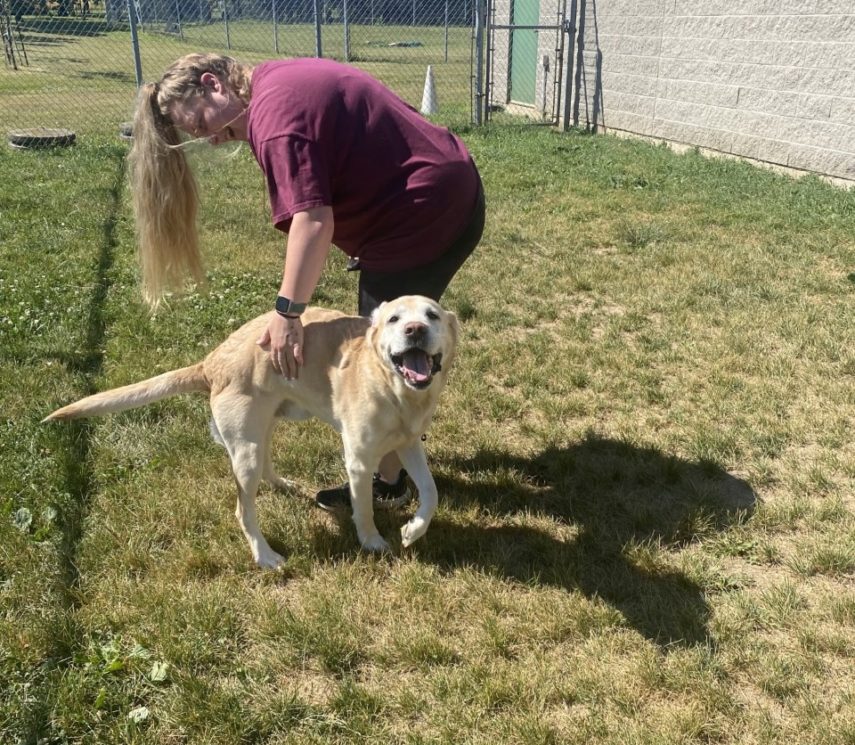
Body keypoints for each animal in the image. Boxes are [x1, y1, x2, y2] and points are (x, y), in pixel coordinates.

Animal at [45, 294, 462, 568]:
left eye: (432, 315)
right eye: (394, 319)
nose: (415, 329)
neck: (396, 390)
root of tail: (211, 361)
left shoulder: (409, 443)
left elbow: (431, 492)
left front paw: (413, 530)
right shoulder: (359, 460)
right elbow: (363, 509)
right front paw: (373, 541)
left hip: (268, 425)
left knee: (266, 464)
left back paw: (283, 485)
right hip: (245, 452)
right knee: (242, 510)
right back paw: (265, 555)